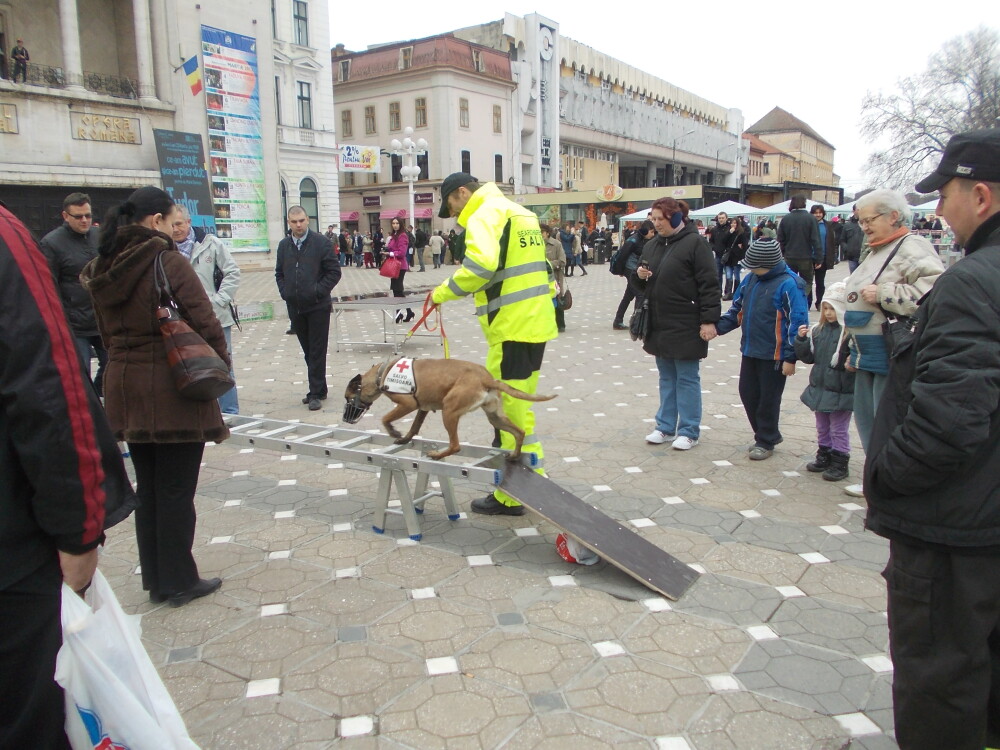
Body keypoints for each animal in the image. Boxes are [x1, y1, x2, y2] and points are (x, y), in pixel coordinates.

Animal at [344, 356, 556, 462]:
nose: (345, 419)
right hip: (494, 417)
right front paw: (404, 438)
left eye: (347, 398)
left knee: (455, 445)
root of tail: (486, 378)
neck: (382, 373)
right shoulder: (422, 408)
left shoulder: (408, 404)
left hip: (449, 412)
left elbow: (386, 418)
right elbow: (414, 427)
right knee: (520, 432)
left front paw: (393, 431)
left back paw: (438, 455)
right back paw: (514, 455)